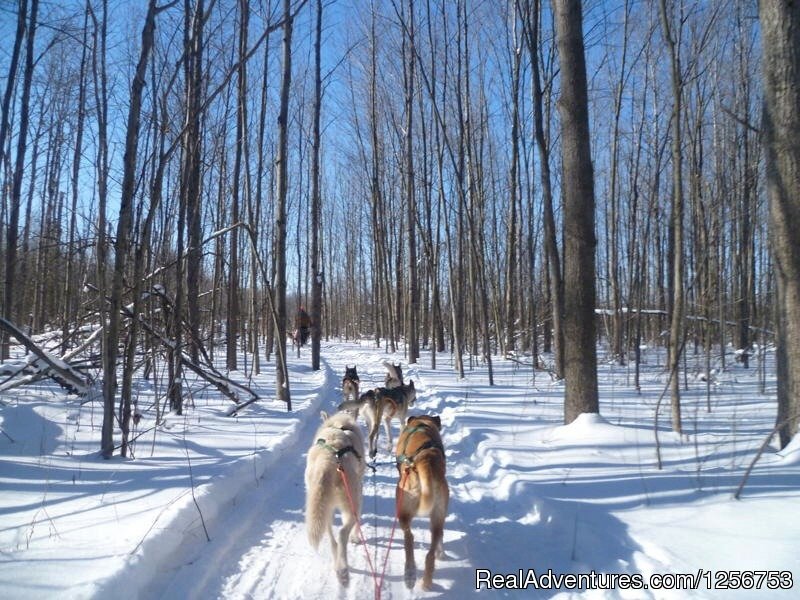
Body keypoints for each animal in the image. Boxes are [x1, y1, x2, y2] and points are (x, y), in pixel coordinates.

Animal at [304, 410, 368, 584]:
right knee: (342, 534)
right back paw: (343, 568)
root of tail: (327, 463)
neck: (338, 426)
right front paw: (356, 538)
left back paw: (337, 564)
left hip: (325, 509)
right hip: (351, 504)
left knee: (332, 539)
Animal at [396, 414, 450, 588]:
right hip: (439, 515)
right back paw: (426, 582)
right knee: (432, 549)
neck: (423, 423)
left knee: (409, 537)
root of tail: (426, 460)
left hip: (402, 509)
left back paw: (410, 573)